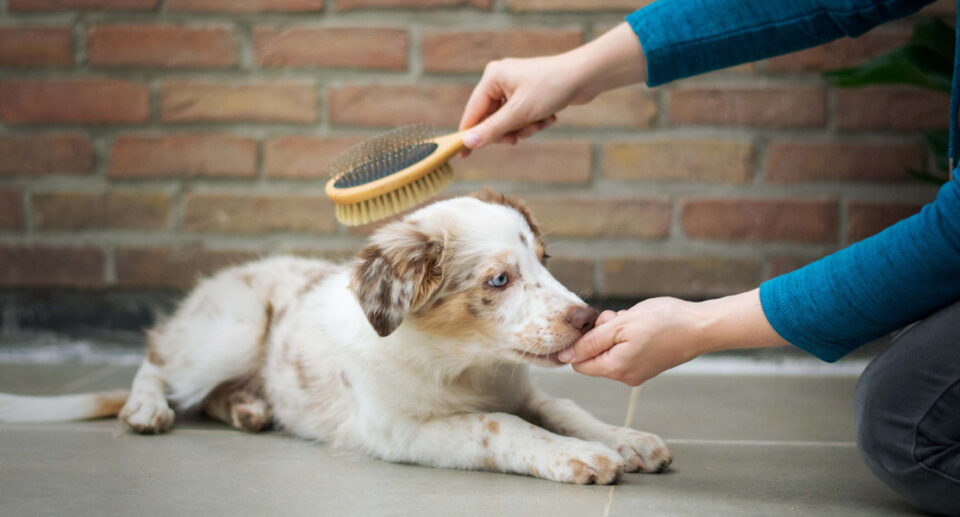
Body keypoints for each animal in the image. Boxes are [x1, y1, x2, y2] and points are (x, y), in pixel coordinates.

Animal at [0, 190, 672, 484]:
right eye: (499, 280)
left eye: (545, 261)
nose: (588, 319)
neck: (462, 365)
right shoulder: (396, 428)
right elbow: (498, 426)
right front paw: (576, 457)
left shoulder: (523, 390)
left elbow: (564, 408)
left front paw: (629, 440)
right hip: (229, 332)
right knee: (156, 360)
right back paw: (146, 410)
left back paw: (249, 409)